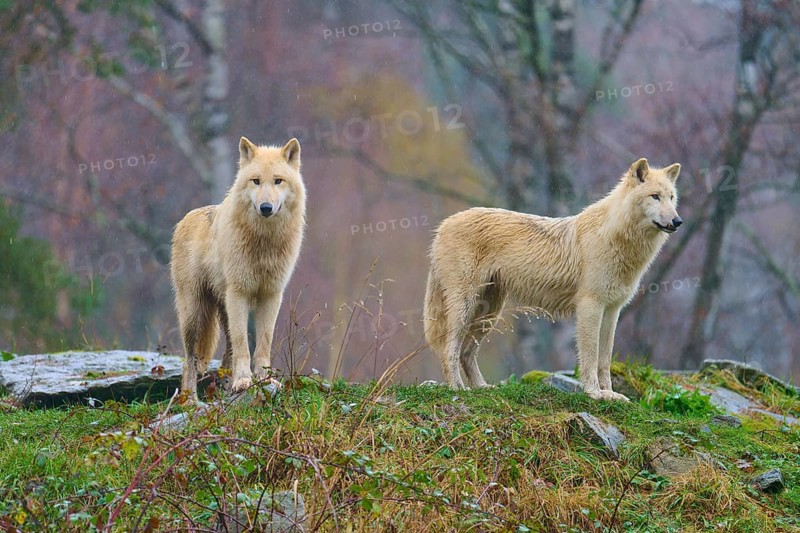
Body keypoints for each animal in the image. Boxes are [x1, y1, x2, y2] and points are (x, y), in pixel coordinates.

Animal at [171, 137, 306, 400]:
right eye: (256, 181)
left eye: (278, 181)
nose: (266, 207)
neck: (264, 241)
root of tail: (185, 218)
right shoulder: (239, 293)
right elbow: (244, 344)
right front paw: (243, 381)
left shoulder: (271, 295)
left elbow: (263, 343)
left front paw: (264, 380)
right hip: (194, 312)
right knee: (190, 357)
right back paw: (190, 400)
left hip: (223, 308)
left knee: (227, 351)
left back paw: (223, 386)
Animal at [423, 158, 681, 401]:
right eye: (655, 196)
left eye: (671, 197)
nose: (678, 221)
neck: (615, 237)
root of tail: (443, 225)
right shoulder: (590, 306)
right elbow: (589, 356)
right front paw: (593, 393)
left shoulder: (612, 310)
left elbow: (604, 359)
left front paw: (610, 394)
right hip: (466, 307)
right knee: (449, 349)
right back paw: (457, 388)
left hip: (489, 312)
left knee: (466, 352)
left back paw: (482, 388)